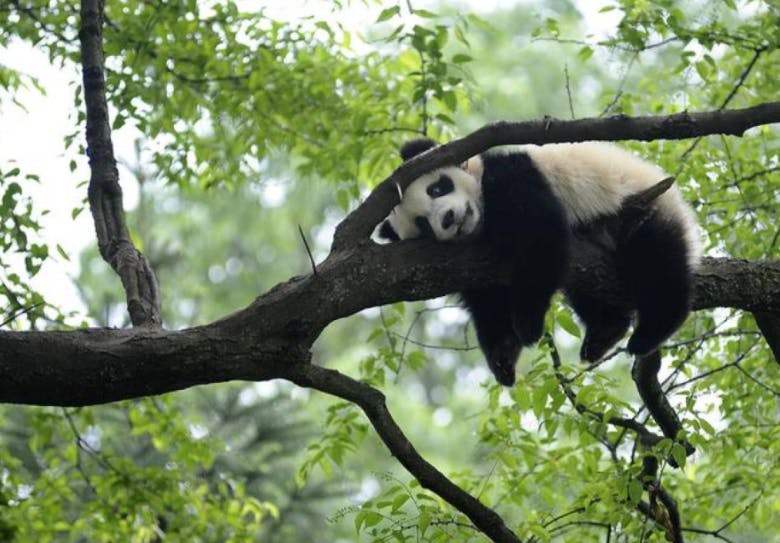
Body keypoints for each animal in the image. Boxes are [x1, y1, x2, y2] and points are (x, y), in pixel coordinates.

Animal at [379, 137, 700, 386]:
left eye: (436, 189)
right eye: (422, 225)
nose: (448, 219)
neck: (481, 220)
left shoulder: (512, 177)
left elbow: (540, 236)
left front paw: (528, 324)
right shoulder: (471, 264)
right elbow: (488, 302)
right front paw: (503, 357)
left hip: (643, 207)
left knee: (656, 262)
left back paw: (651, 330)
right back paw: (604, 331)